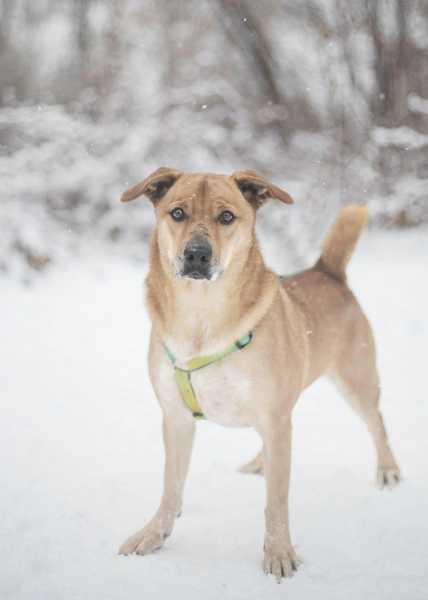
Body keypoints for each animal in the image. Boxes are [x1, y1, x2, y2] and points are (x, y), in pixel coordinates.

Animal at [118, 166, 402, 580]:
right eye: (177, 213)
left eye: (226, 216)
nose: (197, 254)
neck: (200, 317)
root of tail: (327, 271)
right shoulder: (176, 418)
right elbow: (170, 488)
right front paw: (153, 534)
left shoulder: (275, 418)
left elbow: (277, 501)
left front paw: (280, 554)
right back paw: (259, 461)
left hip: (356, 380)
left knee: (376, 421)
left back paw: (387, 470)